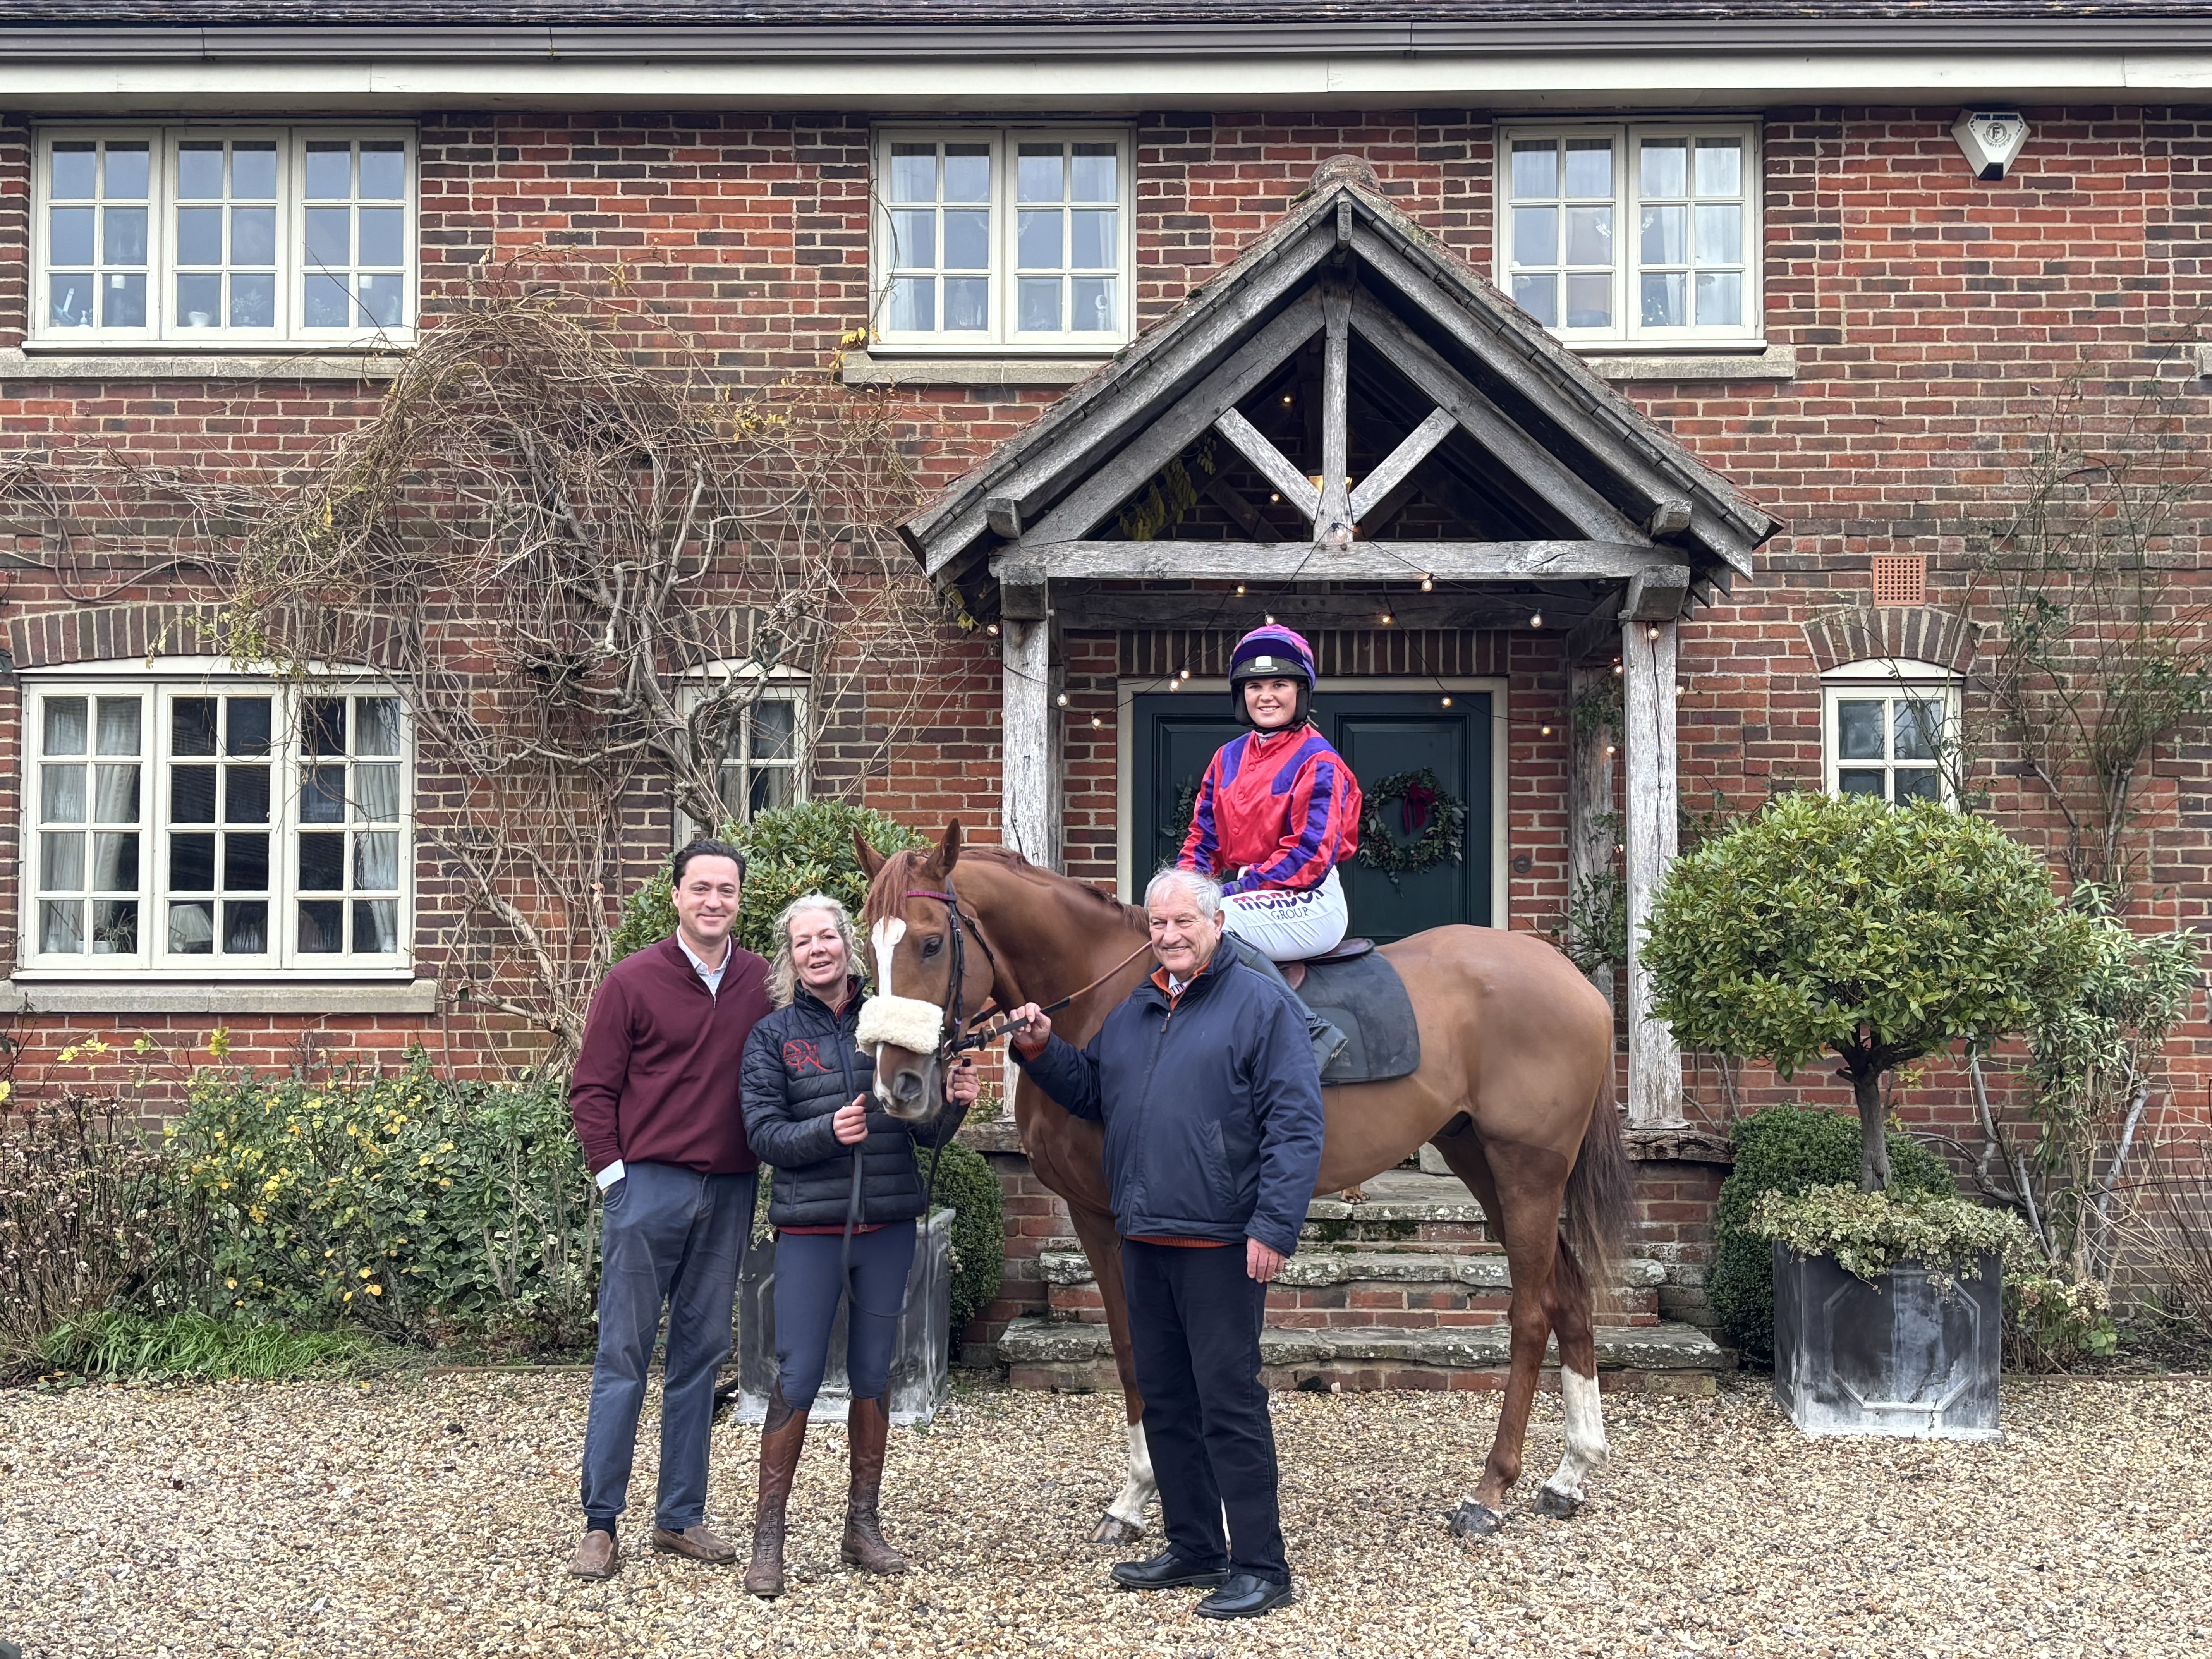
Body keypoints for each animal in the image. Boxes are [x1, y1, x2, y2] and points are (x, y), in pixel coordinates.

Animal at [854, 827, 1637, 1539]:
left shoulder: (1126, 1219)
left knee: (1532, 1310)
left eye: (931, 943)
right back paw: (1570, 1472)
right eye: (868, 943)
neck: (1109, 1001)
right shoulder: (1093, 1215)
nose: (900, 1085)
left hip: (1526, 1169)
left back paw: (1490, 1490)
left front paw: (1159, 1493)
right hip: (1480, 1157)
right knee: (1567, 1296)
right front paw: (1147, 1495)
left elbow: (1150, 1348)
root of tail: (1568, 975)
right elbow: (1132, 1348)